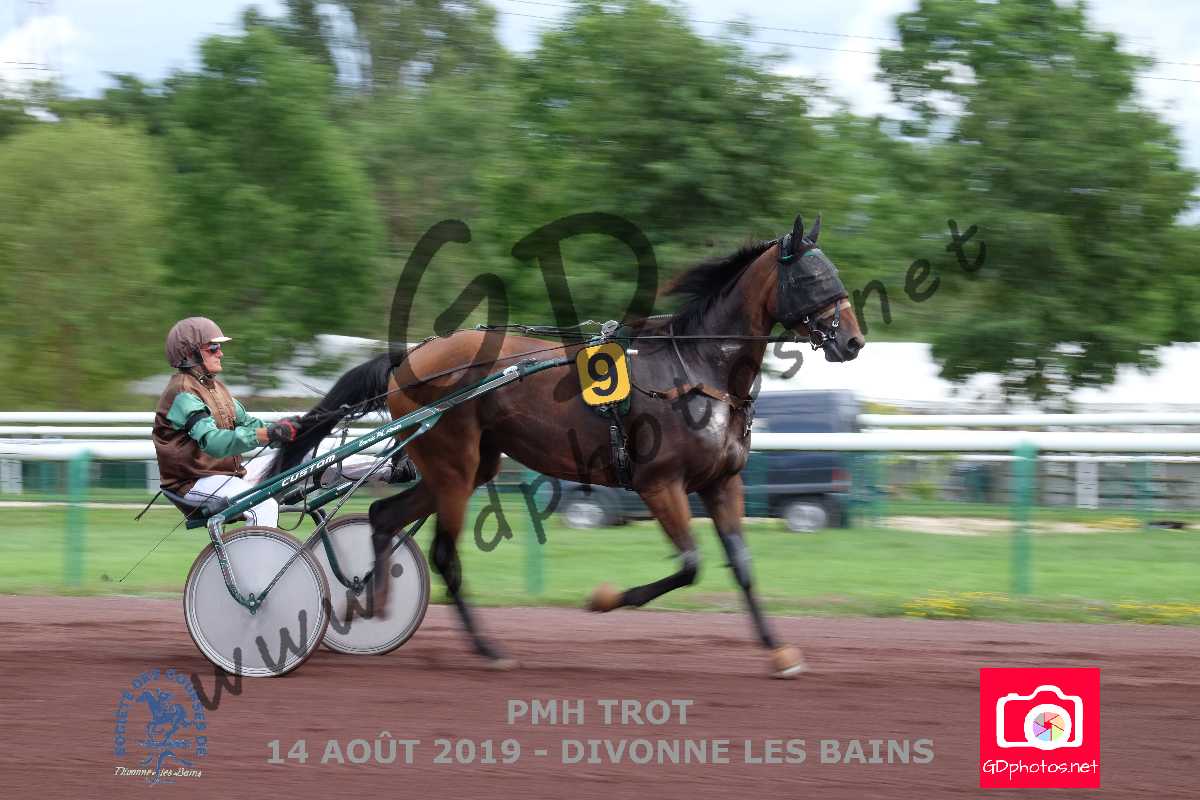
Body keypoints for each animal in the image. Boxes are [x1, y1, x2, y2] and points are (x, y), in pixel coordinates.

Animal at [267, 214, 865, 677]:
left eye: (834, 272)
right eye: (813, 275)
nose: (853, 340)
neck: (694, 370)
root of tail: (409, 357)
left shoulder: (721, 483)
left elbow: (740, 565)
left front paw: (780, 652)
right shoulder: (660, 483)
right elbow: (690, 565)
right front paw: (603, 599)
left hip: (469, 467)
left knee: (385, 516)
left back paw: (370, 605)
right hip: (453, 464)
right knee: (442, 553)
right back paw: (488, 649)